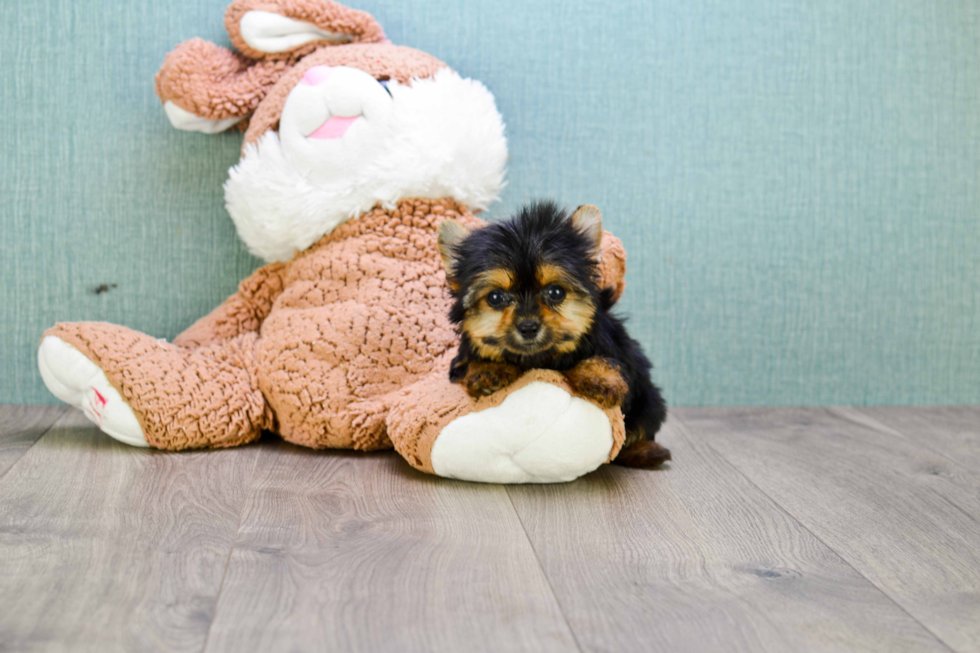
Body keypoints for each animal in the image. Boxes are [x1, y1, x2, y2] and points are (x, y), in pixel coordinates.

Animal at [440, 201, 668, 466]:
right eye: (495, 297)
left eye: (556, 292)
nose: (528, 326)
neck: (538, 358)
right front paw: (489, 369)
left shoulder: (616, 347)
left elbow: (606, 359)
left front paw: (600, 378)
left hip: (650, 401)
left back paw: (646, 451)